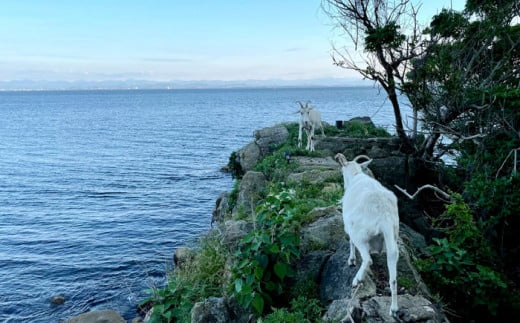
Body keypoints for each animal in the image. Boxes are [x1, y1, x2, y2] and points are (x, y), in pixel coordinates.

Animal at [336, 153, 400, 318]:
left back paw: (356, 280)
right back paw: (394, 309)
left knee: (367, 258)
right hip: (392, 239)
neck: (356, 175)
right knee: (393, 275)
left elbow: (350, 242)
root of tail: (384, 216)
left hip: (361, 234)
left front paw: (351, 260)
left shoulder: (349, 225)